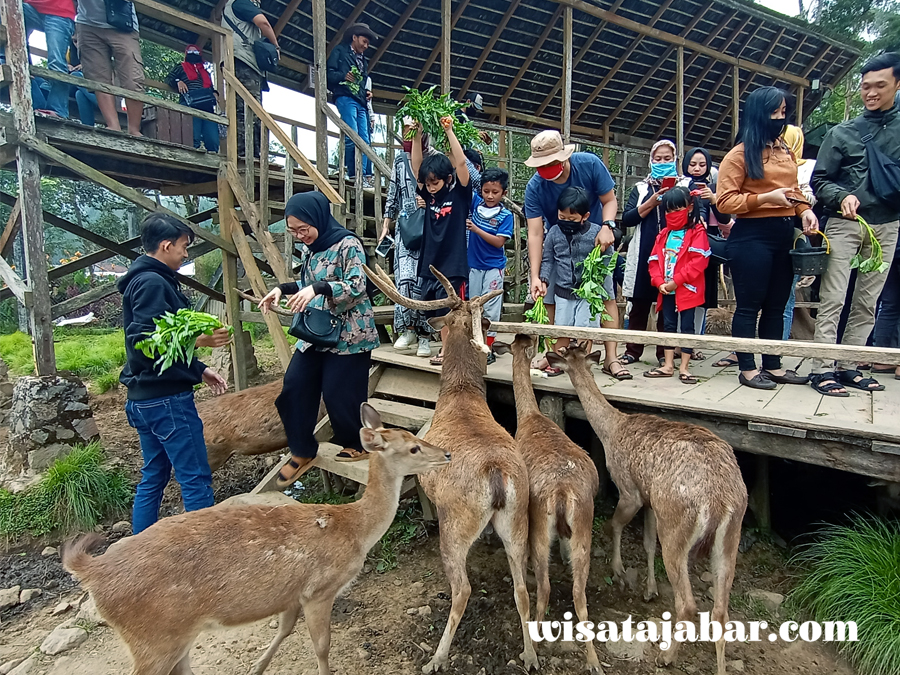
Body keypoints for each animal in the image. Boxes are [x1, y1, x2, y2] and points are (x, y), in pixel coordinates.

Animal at [63, 404, 450, 675]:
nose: (446, 453)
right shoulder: (320, 588)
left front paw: (257, 667)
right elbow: (321, 646)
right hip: (152, 637)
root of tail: (92, 572)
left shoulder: (293, 593)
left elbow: (285, 629)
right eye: (413, 448)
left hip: (172, 637)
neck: (354, 529)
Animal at [364, 262, 536, 672]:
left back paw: (438, 657)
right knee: (522, 588)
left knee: (463, 589)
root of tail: (497, 475)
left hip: (457, 523)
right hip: (518, 517)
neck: (458, 394)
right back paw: (530, 654)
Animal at [492, 336, 604, 672]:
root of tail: (563, 494)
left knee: (543, 587)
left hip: (541, 528)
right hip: (583, 529)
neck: (530, 418)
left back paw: (534, 648)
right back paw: (594, 661)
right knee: (579, 594)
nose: (526, 337)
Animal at [544, 346, 748, 672]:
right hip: (730, 533)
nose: (553, 365)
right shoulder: (651, 501)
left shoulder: (629, 489)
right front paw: (649, 589)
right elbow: (648, 541)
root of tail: (719, 501)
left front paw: (619, 572)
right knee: (721, 610)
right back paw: (718, 667)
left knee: (688, 603)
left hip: (676, 523)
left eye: (564, 358)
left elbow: (613, 525)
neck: (612, 430)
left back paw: (666, 657)